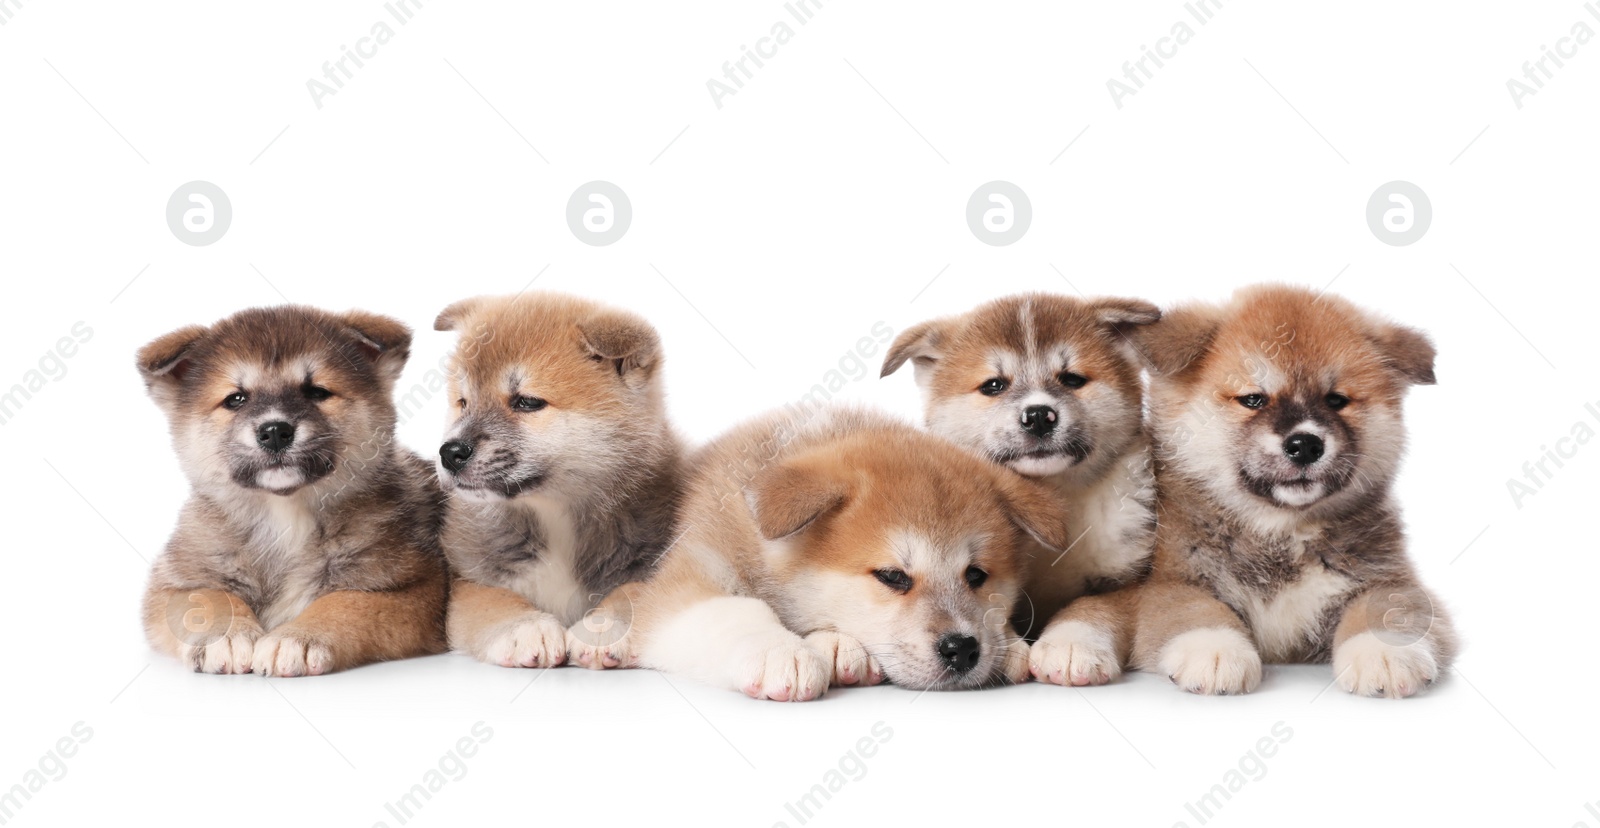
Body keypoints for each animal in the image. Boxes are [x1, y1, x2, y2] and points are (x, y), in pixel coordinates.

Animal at [138, 308, 451, 677]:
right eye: (236, 399)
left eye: (316, 392)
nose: (275, 431)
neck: (284, 513)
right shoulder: (174, 583)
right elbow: (208, 599)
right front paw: (226, 635)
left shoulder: (414, 587)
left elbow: (346, 602)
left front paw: (298, 637)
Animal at [435, 295, 684, 671]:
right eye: (463, 403)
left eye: (527, 402)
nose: (449, 453)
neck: (556, 516)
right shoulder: (469, 579)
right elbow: (492, 600)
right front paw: (524, 627)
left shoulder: (656, 562)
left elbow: (631, 594)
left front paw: (603, 627)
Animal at [889, 294, 1164, 687]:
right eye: (993, 385)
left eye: (1072, 379)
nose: (1037, 415)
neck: (1051, 497)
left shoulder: (1125, 578)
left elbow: (1092, 605)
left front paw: (1071, 643)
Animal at [1062, 286, 1465, 700]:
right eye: (1254, 399)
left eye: (1336, 400)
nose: (1305, 444)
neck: (1278, 532)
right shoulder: (1173, 583)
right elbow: (1197, 611)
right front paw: (1215, 649)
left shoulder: (1391, 578)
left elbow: (1387, 609)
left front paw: (1384, 653)